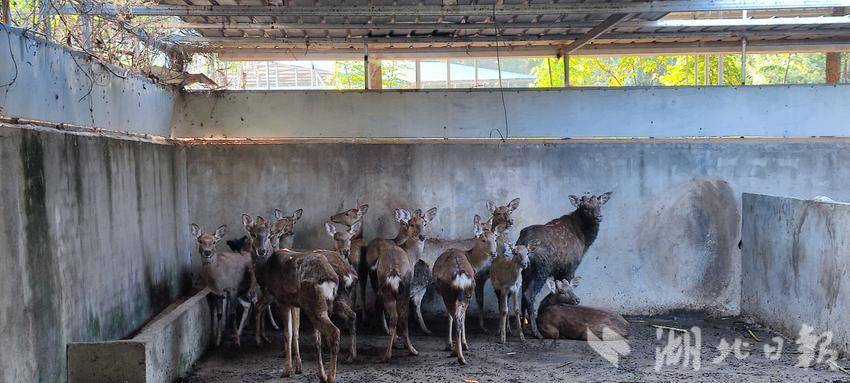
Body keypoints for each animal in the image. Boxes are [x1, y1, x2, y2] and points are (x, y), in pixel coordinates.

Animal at [422, 198, 520, 332]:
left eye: (510, 211)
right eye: (498, 213)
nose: (510, 221)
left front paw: (507, 328)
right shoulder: (479, 277)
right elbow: (481, 300)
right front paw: (483, 327)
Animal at [430, 216, 496, 366]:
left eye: (495, 238)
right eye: (483, 239)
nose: (494, 253)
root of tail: (460, 275)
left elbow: (451, 316)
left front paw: (449, 344)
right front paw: (461, 344)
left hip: (449, 293)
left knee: (456, 318)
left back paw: (458, 354)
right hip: (466, 292)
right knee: (459, 318)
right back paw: (461, 353)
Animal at [516, 192, 608, 340]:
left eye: (599, 205)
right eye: (585, 208)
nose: (598, 217)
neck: (584, 241)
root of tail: (524, 242)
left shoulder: (558, 270)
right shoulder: (570, 267)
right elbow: (566, 286)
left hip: (526, 271)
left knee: (523, 293)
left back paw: (524, 327)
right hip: (541, 270)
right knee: (529, 295)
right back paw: (536, 332)